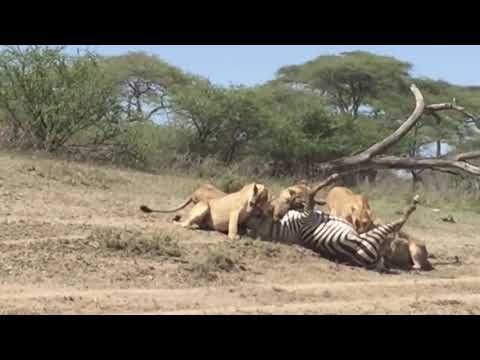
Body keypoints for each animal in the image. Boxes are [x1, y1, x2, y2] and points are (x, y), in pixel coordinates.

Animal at [246, 195, 418, 272]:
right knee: (398, 223)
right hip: (371, 238)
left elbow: (310, 198)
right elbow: (312, 194)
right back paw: (413, 204)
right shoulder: (305, 216)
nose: (275, 213)